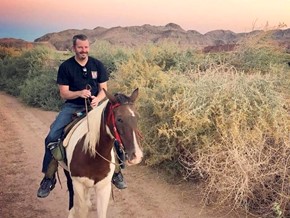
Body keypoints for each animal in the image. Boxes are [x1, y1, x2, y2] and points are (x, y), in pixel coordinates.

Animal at [61, 88, 143, 218]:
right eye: (119, 119)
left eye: (137, 118)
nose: (137, 156)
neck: (93, 156)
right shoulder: (78, 184)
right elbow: (81, 210)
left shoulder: (104, 187)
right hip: (68, 175)